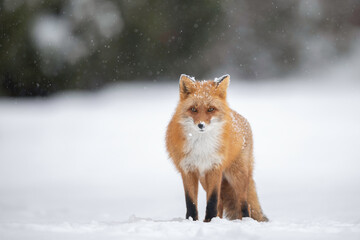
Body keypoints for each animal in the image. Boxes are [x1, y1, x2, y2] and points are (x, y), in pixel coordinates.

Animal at [166, 74, 268, 222]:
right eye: (193, 109)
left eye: (211, 109)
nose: (201, 125)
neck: (201, 147)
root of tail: (239, 116)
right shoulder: (188, 170)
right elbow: (191, 202)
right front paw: (193, 220)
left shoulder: (215, 168)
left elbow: (212, 200)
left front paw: (209, 220)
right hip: (205, 179)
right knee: (221, 202)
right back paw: (216, 220)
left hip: (237, 175)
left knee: (244, 203)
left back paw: (244, 220)